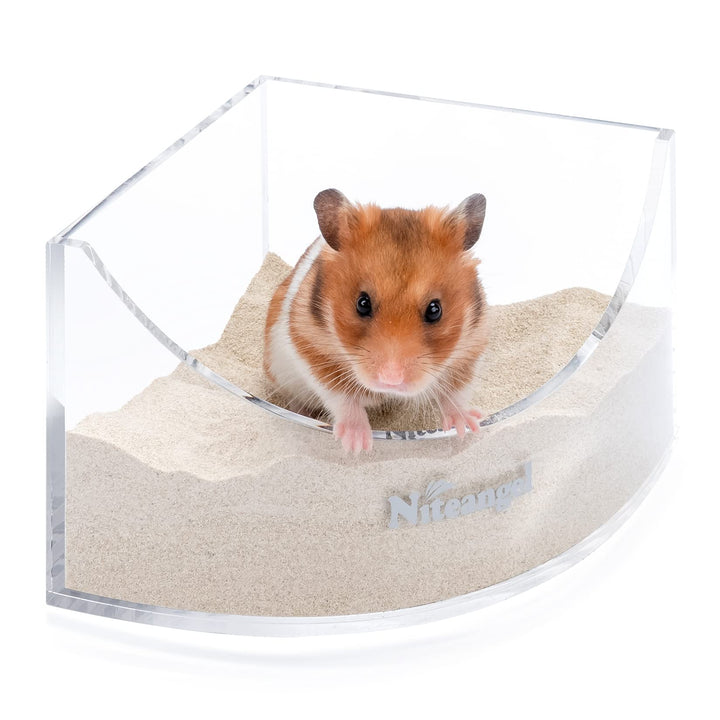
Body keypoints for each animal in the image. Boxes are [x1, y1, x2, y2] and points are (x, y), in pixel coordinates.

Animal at [263, 188, 490, 453]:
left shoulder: (470, 351)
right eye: (362, 303)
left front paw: (468, 427)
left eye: (435, 310)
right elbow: (342, 398)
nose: (391, 380)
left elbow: (455, 395)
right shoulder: (311, 349)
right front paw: (357, 445)